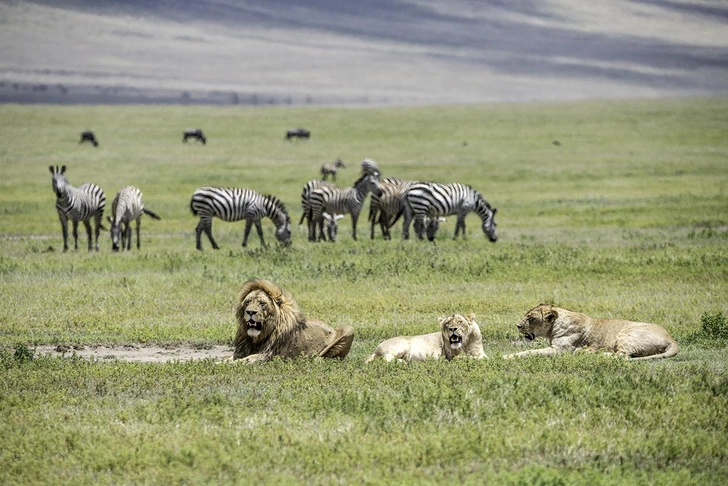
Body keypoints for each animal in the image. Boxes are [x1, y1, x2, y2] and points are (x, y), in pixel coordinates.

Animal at [504, 306, 680, 358]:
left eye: (531, 318)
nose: (517, 325)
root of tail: (671, 338)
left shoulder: (560, 350)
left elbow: (531, 352)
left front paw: (508, 356)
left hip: (626, 333)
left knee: (622, 356)